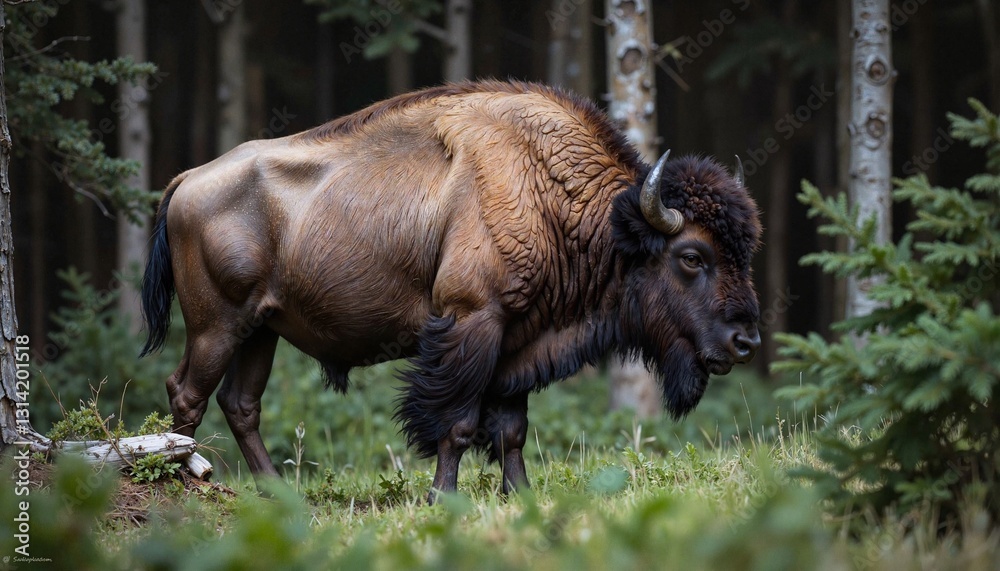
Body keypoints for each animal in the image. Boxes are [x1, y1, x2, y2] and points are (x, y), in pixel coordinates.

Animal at [140, 80, 761, 498]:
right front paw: (443, 497)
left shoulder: (518, 343)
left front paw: (520, 494)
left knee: (240, 404)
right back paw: (183, 486)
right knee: (187, 393)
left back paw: (276, 495)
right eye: (691, 257)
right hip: (217, 326)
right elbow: (456, 423)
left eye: (745, 251)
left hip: (261, 330)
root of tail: (187, 180)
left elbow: (511, 430)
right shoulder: (472, 322)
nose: (746, 341)